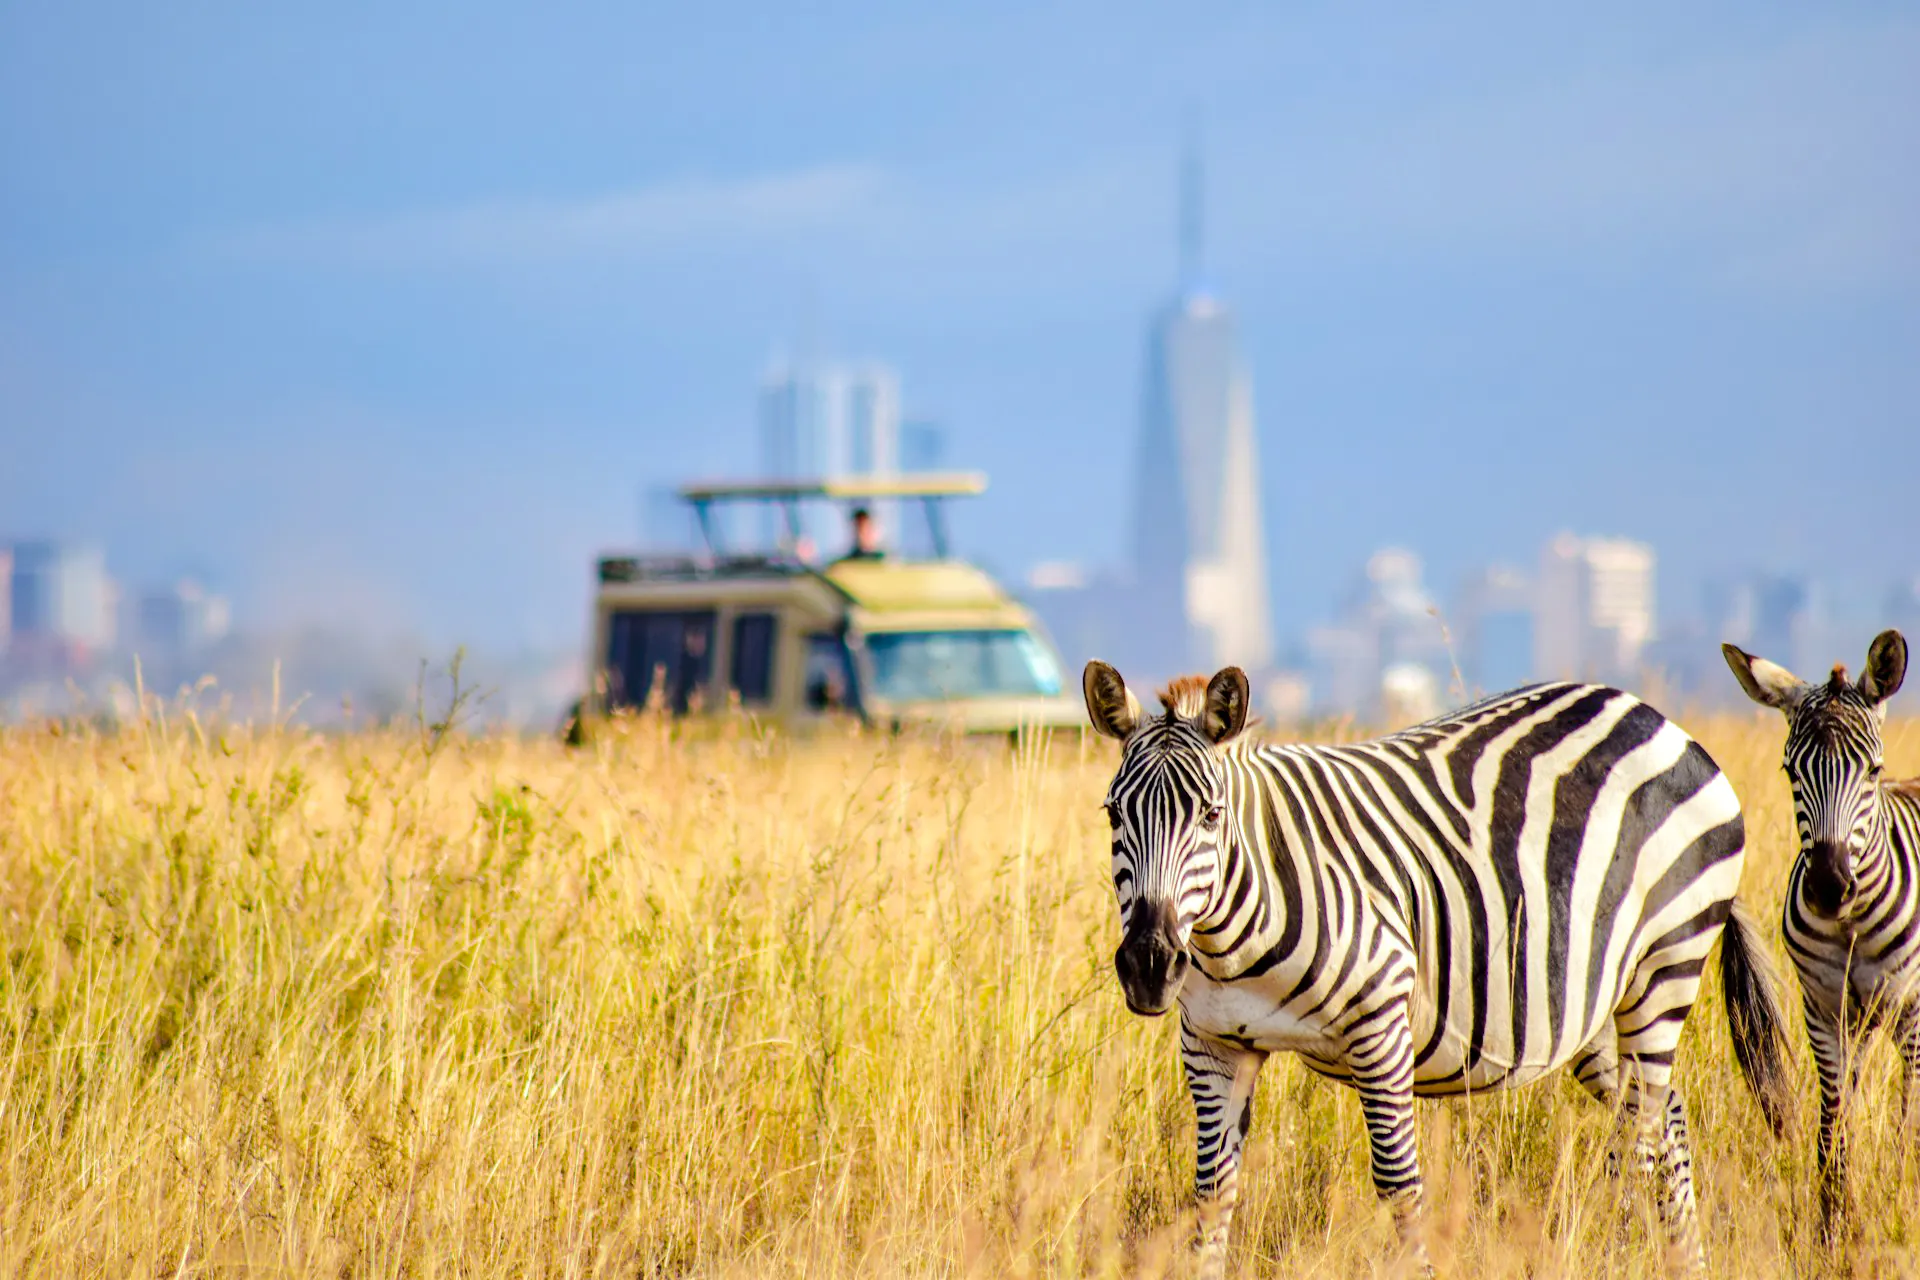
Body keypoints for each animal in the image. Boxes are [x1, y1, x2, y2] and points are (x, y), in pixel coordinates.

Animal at [1083, 661, 1793, 1277]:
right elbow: (1211, 1194)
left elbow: (1400, 1188)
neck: (1231, 935)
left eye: (1211, 815)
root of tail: (1655, 717)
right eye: (1113, 814)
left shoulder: (1379, 1026)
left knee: (1639, 1135)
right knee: (1666, 1121)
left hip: (1666, 963)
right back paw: (1687, 1264)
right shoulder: (1213, 1045)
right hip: (1590, 1004)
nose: (1149, 965)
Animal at [1723, 628, 1918, 1237]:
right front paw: (1835, 1221)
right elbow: (1833, 1118)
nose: (1829, 887)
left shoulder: (1912, 1009)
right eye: (1790, 772)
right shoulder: (1823, 1006)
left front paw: (1902, 1199)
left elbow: (1909, 1115)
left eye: (1872, 770)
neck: (1851, 923)